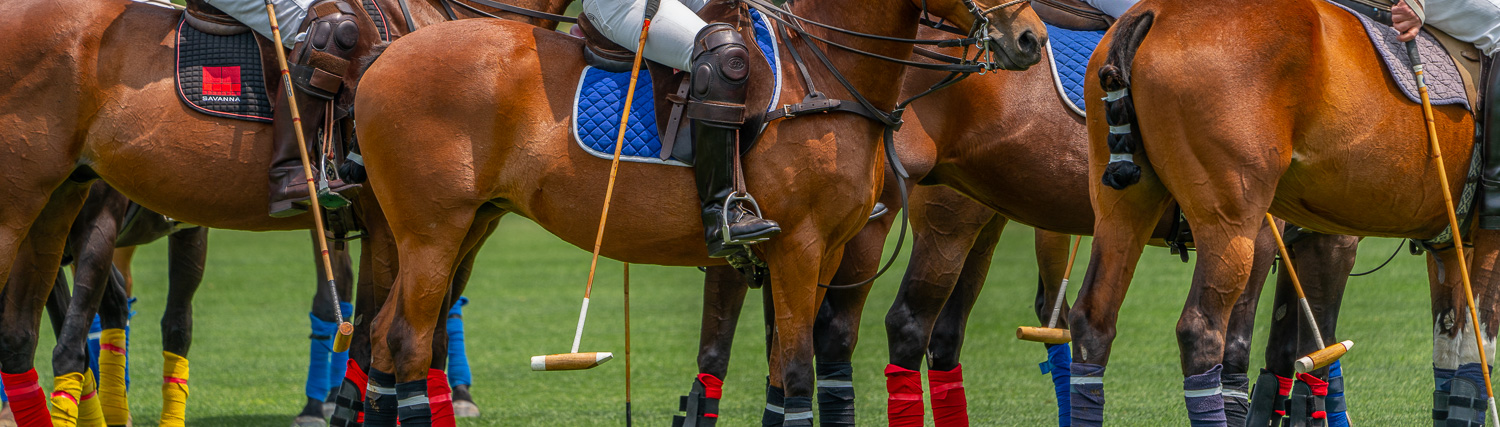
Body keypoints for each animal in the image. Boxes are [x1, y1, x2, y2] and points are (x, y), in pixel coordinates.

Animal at [349, 0, 1044, 419]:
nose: (1030, 36)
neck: (827, 76)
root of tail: (380, 58)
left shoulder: (820, 254)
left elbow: (779, 376)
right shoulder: (798, 245)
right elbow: (796, 375)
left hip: (469, 224)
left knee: (382, 337)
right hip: (432, 231)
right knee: (408, 341)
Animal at [1068, 0, 1488, 419]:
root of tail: (1151, 13)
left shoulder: (1432, 242)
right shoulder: (1334, 239)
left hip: (1123, 205)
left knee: (1092, 318)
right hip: (1231, 220)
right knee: (1202, 330)